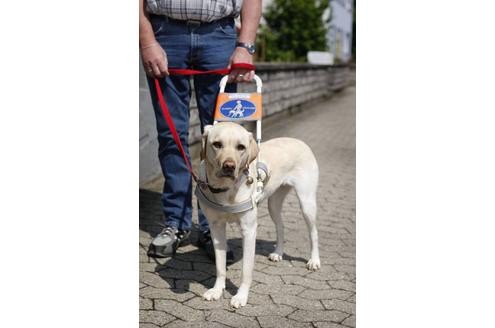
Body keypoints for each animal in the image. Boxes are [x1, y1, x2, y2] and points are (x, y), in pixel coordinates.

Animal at [199, 121, 322, 308]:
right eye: (217, 144)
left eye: (241, 147)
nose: (229, 166)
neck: (226, 190)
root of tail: (299, 141)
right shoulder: (216, 228)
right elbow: (220, 266)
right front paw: (217, 290)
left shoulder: (249, 230)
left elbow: (246, 270)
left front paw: (241, 296)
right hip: (274, 203)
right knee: (280, 227)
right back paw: (278, 253)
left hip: (306, 202)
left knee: (313, 232)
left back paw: (314, 261)